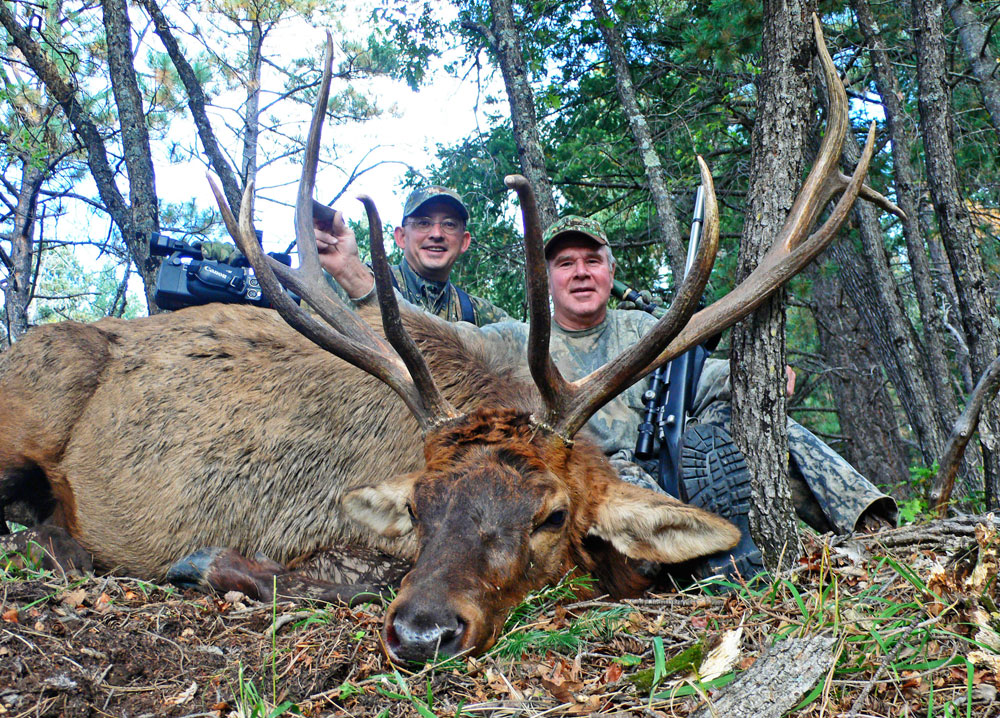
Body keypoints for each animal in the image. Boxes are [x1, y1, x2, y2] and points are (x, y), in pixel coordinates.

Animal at [1, 16, 900, 668]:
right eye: (420, 506)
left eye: (551, 515)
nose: (423, 632)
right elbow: (329, 577)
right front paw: (201, 564)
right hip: (41, 384)